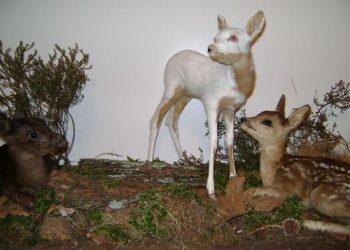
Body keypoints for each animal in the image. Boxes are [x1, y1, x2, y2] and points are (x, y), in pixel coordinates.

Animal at [148, 11, 266, 195]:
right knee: (156, 119)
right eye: (215, 37)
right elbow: (213, 142)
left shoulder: (230, 109)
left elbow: (230, 140)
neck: (234, 82)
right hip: (170, 90)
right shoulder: (211, 103)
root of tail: (171, 59)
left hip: (185, 96)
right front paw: (210, 187)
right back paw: (149, 161)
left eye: (233, 37)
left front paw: (233, 176)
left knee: (171, 121)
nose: (210, 48)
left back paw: (184, 161)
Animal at [242, 95, 350, 234]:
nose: (243, 119)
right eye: (260, 112)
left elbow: (259, 189)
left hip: (323, 194)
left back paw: (311, 223)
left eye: (267, 122)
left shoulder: (289, 187)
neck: (274, 171)